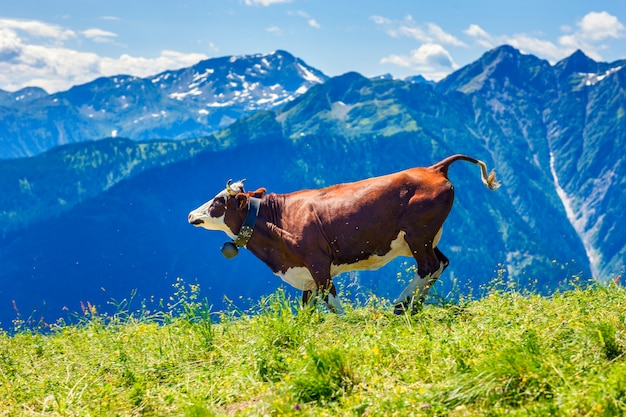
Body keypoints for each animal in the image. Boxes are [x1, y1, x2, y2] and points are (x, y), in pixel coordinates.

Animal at [185, 154, 498, 314]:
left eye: (218, 200)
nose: (190, 215)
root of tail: (434, 168)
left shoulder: (318, 263)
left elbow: (332, 303)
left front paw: (346, 323)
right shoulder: (305, 273)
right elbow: (306, 311)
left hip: (418, 235)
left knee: (428, 267)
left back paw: (400, 305)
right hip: (424, 238)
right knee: (440, 264)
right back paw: (412, 305)